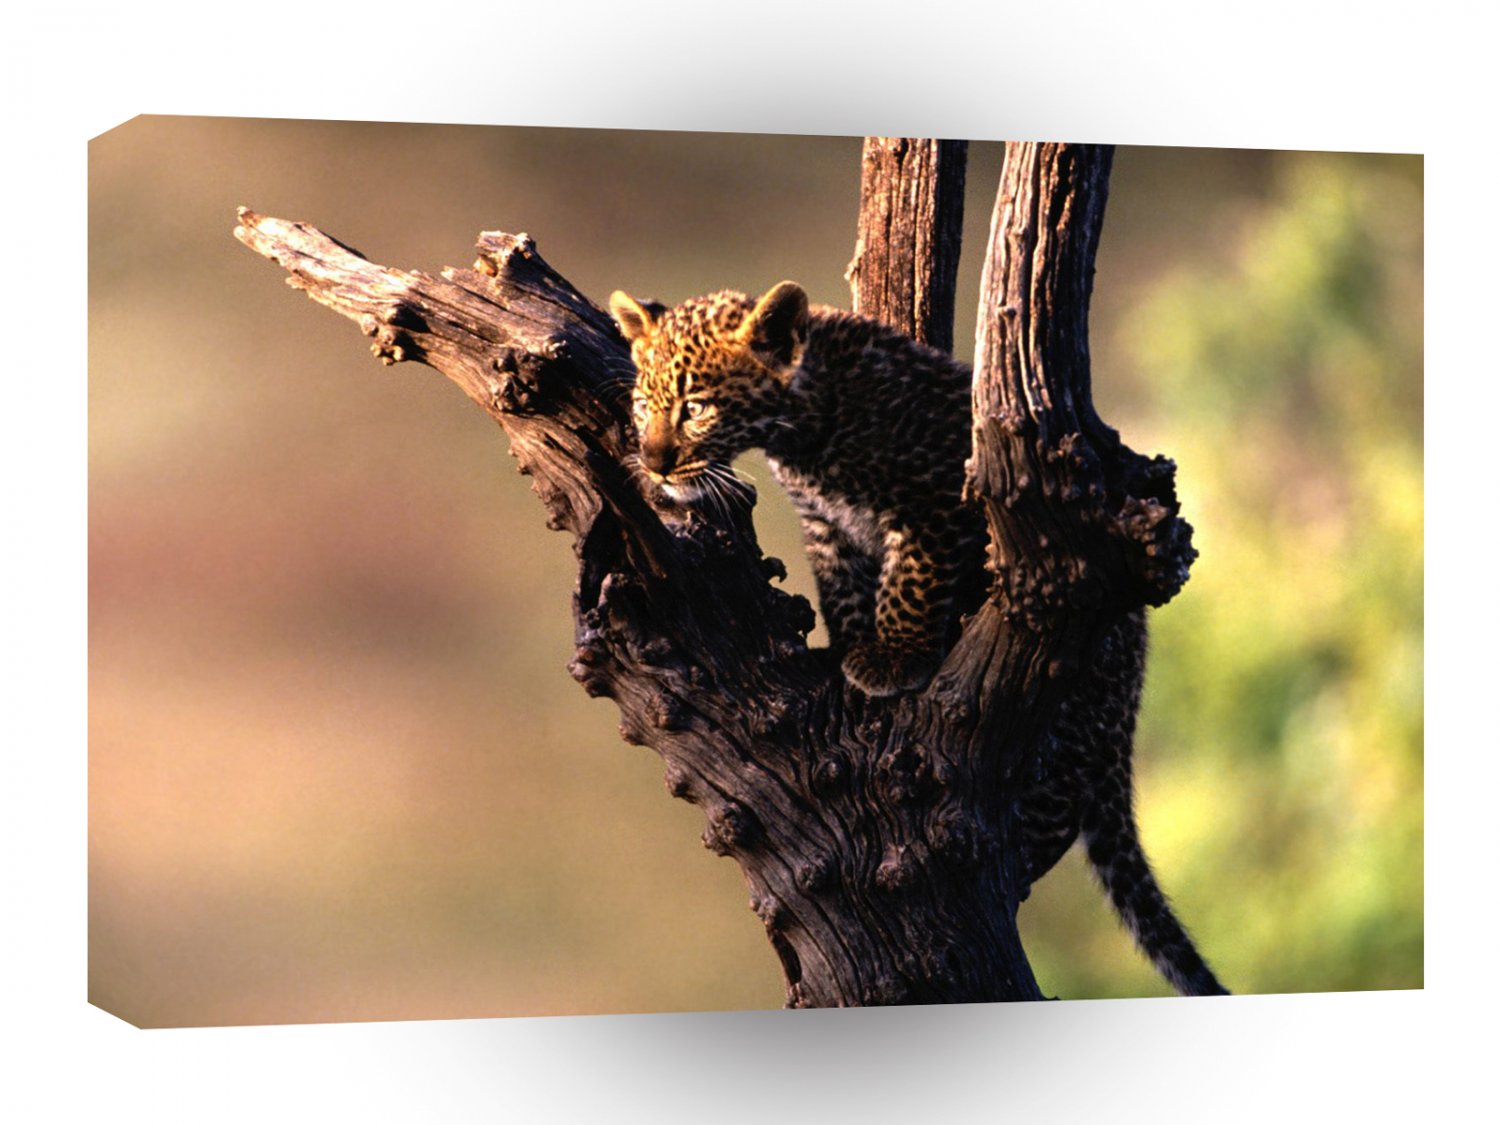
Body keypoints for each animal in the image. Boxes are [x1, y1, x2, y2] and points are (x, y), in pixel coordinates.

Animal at [609, 280, 1229, 997]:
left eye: (697, 407)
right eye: (643, 405)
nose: (656, 461)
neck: (805, 429)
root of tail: (1132, 689)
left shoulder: (935, 503)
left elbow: (908, 584)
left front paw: (893, 659)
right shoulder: (827, 527)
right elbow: (846, 592)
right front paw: (847, 654)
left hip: (1072, 721)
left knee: (1048, 821)